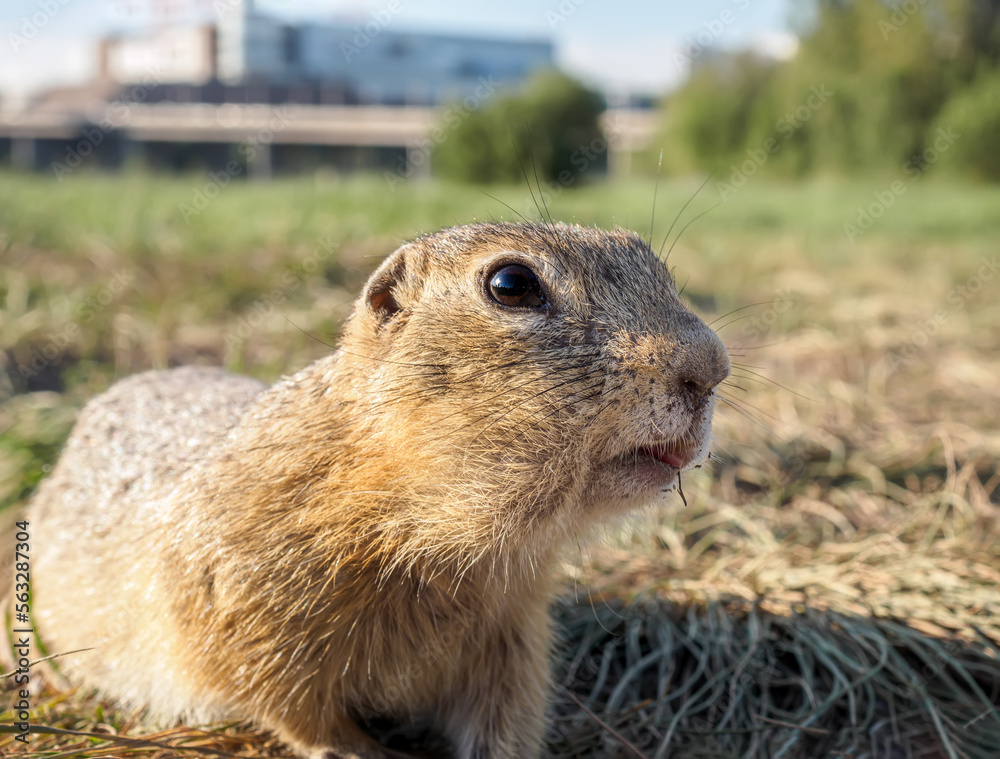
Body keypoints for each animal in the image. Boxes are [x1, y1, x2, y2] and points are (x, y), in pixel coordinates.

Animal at [23, 221, 728, 759]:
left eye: (650, 259)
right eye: (511, 284)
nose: (711, 367)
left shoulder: (514, 634)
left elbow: (506, 717)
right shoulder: (239, 599)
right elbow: (286, 701)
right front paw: (358, 750)